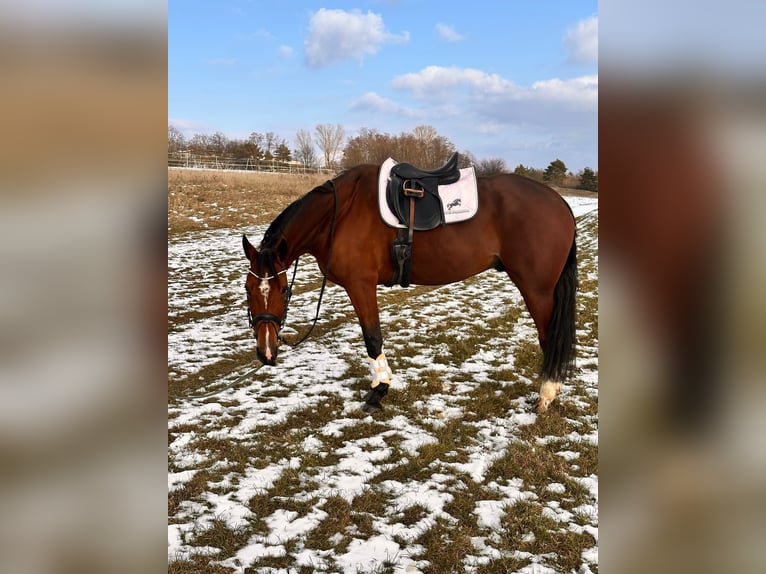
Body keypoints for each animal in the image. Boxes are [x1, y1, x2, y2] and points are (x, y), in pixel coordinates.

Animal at [243, 162, 580, 414]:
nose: (266, 353)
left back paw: (546, 394)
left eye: (283, 290)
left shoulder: (360, 285)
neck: (339, 214)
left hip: (536, 290)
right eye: (248, 290)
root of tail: (560, 202)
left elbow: (372, 339)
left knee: (548, 337)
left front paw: (378, 392)